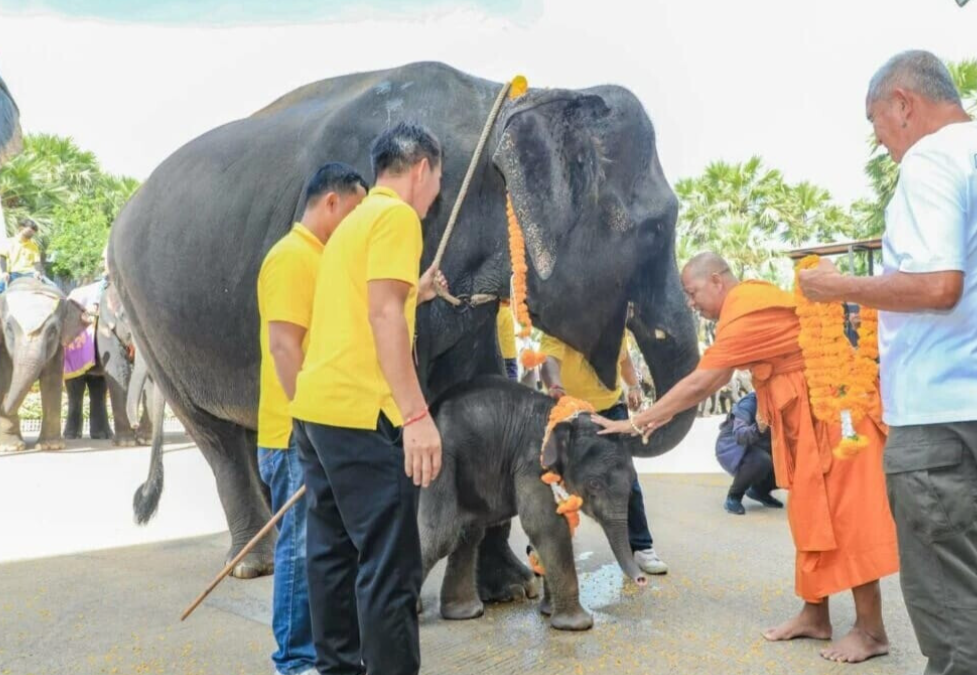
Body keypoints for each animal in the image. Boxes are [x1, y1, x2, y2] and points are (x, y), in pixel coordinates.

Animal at [0, 278, 86, 452]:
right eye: (9, 328)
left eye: (53, 331)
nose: (3, 400)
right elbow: (6, 375)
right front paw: (10, 447)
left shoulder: (57, 348)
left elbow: (51, 379)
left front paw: (51, 446)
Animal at [110, 60, 696, 584]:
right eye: (656, 227)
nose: (623, 412)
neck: (505, 103)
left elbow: (475, 379)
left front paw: (511, 586)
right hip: (147, 324)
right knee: (216, 438)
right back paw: (255, 565)